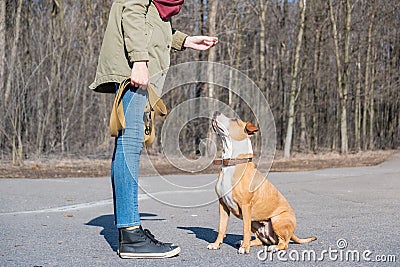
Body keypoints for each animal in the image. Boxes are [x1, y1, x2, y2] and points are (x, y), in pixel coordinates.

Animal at [206, 112, 316, 255]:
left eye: (234, 119)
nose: (216, 113)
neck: (232, 163)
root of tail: (292, 233)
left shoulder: (246, 206)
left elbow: (245, 229)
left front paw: (245, 248)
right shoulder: (223, 204)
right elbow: (221, 227)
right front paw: (216, 244)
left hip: (277, 219)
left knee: (283, 243)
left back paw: (272, 247)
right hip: (256, 222)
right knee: (262, 240)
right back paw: (244, 242)